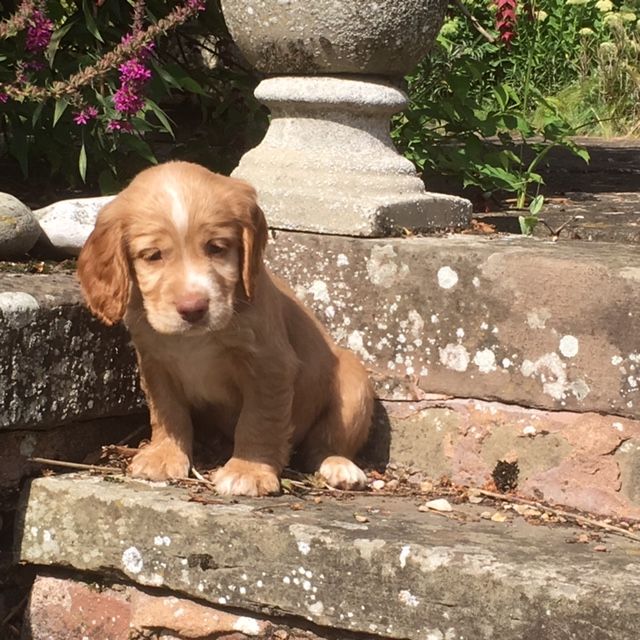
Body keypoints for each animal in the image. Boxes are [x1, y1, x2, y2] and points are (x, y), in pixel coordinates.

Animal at [77, 162, 372, 498]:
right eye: (152, 256)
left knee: (325, 443)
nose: (193, 308)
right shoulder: (155, 363)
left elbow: (259, 419)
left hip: (354, 385)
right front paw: (164, 455)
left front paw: (249, 470)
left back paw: (341, 467)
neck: (195, 340)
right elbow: (168, 412)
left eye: (216, 248)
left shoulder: (268, 365)